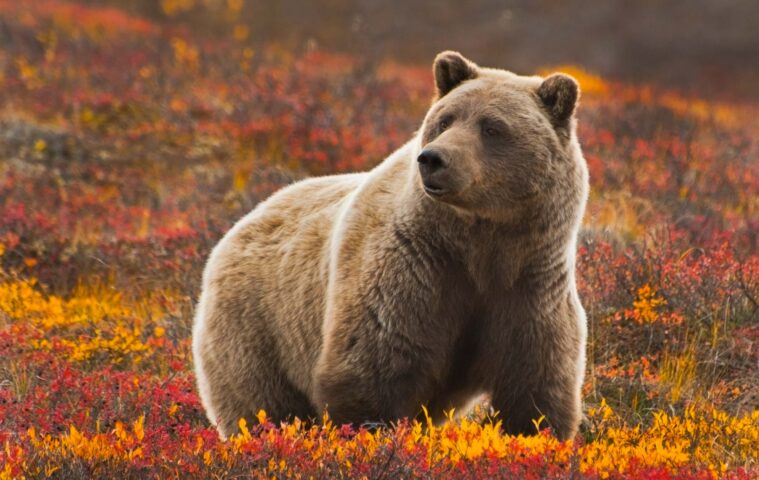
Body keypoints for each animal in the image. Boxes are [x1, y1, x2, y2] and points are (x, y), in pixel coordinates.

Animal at [193, 51, 592, 438]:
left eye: (492, 127)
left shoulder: (529, 285)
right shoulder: (413, 269)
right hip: (258, 326)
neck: (480, 243)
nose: (433, 158)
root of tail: (242, 222)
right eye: (445, 120)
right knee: (263, 404)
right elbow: (371, 368)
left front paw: (533, 432)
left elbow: (535, 384)